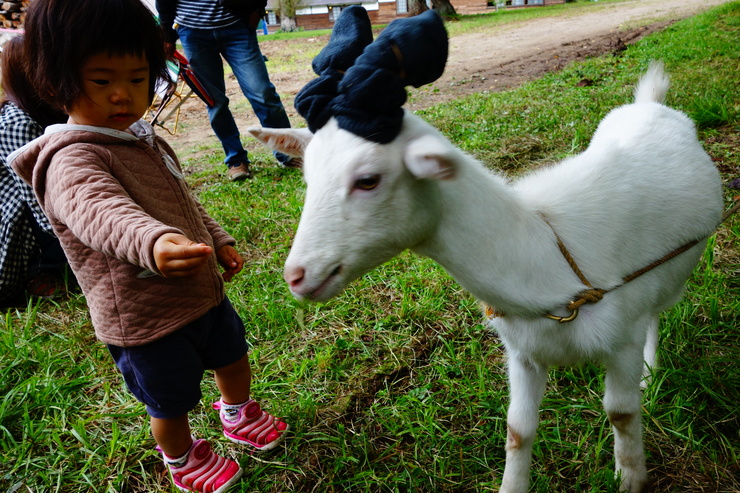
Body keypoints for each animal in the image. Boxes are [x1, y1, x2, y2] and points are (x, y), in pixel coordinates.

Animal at [249, 62, 724, 492]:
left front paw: (630, 478)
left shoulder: (621, 339)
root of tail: (650, 104)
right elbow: (518, 429)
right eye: (308, 176)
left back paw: (650, 370)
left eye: (367, 180)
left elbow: (621, 413)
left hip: (665, 280)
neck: (545, 251)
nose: (296, 276)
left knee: (657, 313)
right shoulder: (523, 352)